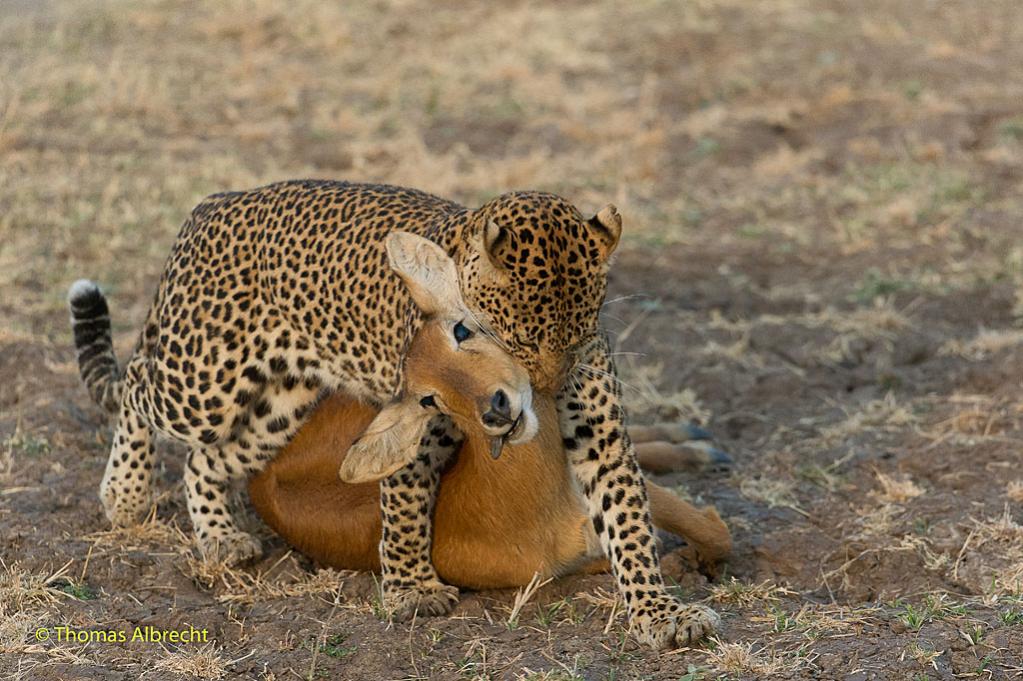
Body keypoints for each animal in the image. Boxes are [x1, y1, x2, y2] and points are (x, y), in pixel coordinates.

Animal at [69, 180, 719, 648]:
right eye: (521, 338)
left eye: (581, 337)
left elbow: (628, 520)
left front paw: (660, 614)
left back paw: (221, 535)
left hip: (280, 407)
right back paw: (125, 495)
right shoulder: (420, 419)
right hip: (205, 380)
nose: (542, 397)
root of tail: (210, 206)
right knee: (137, 386)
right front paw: (410, 589)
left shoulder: (599, 432)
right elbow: (405, 502)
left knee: (206, 460)